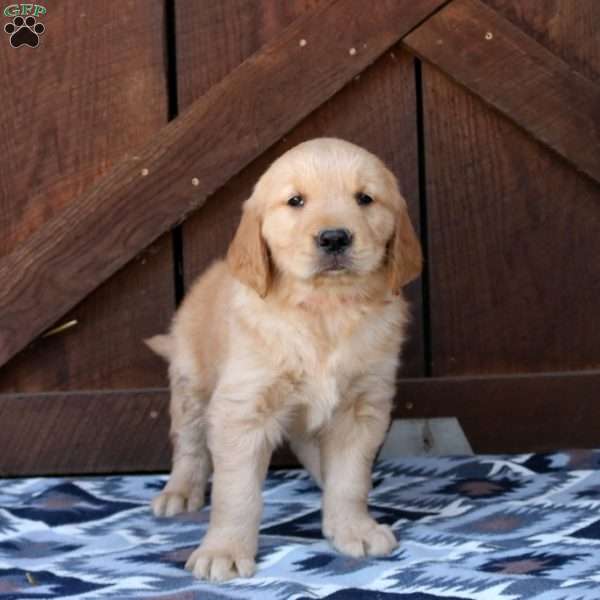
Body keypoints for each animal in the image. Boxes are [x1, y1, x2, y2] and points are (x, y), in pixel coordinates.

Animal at [145, 137, 422, 580]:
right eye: (296, 201)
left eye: (365, 198)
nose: (334, 238)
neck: (325, 309)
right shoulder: (241, 410)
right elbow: (236, 493)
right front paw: (223, 550)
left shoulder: (360, 408)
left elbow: (350, 478)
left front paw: (353, 528)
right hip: (191, 383)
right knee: (189, 445)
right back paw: (179, 491)